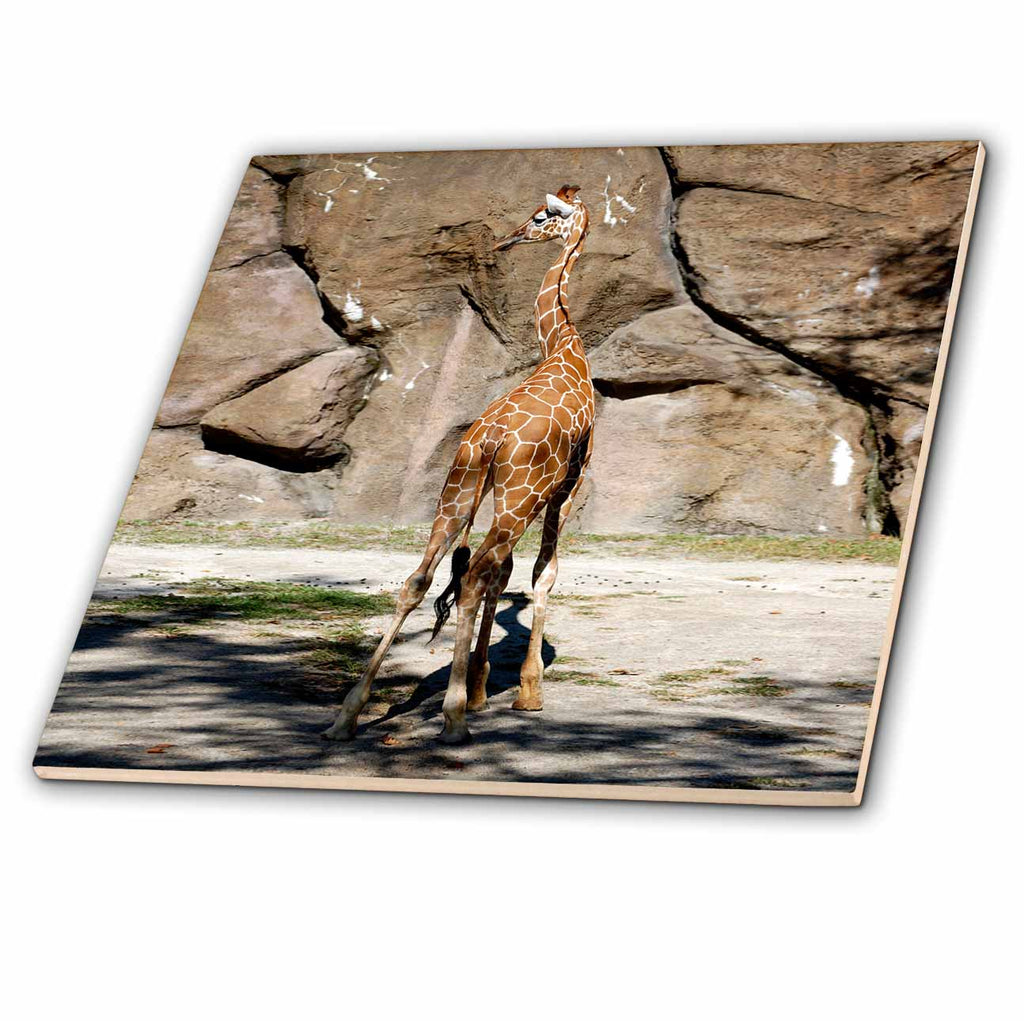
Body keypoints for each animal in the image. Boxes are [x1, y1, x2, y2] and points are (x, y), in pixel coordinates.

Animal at [323, 184, 594, 745]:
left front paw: (481, 686)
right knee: (472, 577)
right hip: (518, 499)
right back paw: (452, 719)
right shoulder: (570, 483)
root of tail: (491, 438)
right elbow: (542, 573)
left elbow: (502, 574)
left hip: (459, 489)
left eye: (540, 217)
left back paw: (347, 715)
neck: (564, 347)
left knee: (420, 578)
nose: (510, 238)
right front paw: (524, 693)